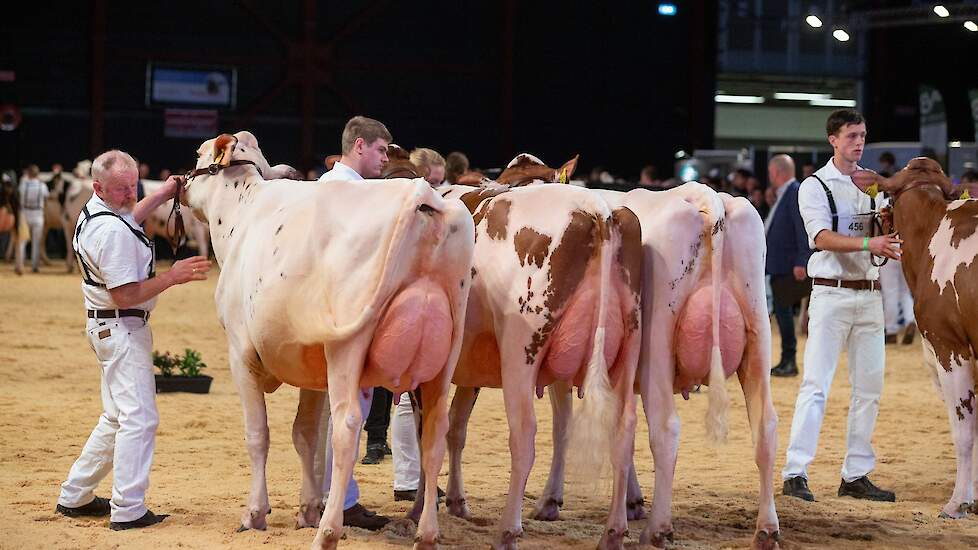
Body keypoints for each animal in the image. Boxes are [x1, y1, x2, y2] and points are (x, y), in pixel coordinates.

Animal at [184, 132, 476, 548]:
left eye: (198, 154)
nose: (181, 183)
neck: (244, 218)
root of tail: (424, 196)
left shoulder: (241, 353)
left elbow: (259, 434)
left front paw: (255, 513)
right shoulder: (310, 362)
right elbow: (305, 434)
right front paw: (306, 509)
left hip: (347, 349)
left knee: (347, 428)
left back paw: (328, 532)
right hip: (445, 351)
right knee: (435, 430)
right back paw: (426, 533)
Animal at [440, 179, 644, 548]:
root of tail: (598, 208)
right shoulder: (469, 369)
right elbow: (455, 427)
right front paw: (454, 501)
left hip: (521, 350)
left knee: (524, 435)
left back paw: (508, 530)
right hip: (627, 348)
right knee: (622, 431)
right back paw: (613, 531)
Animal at [496, 155, 776, 550]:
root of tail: (705, 196)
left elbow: (564, 423)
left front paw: (552, 500)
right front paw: (631, 501)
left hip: (658, 342)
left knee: (666, 428)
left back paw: (657, 529)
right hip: (758, 331)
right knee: (765, 426)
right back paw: (766, 529)